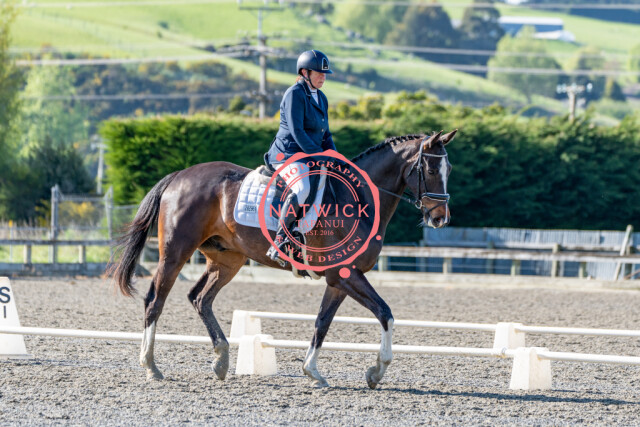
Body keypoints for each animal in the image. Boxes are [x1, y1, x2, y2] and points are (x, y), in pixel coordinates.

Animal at [110, 129, 456, 388]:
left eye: (449, 171)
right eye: (429, 170)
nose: (440, 218)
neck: (357, 200)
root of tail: (180, 175)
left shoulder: (339, 280)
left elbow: (322, 322)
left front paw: (312, 372)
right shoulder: (345, 274)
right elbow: (385, 313)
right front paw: (377, 371)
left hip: (227, 260)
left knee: (200, 298)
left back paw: (221, 359)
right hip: (176, 252)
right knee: (155, 300)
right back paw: (151, 366)